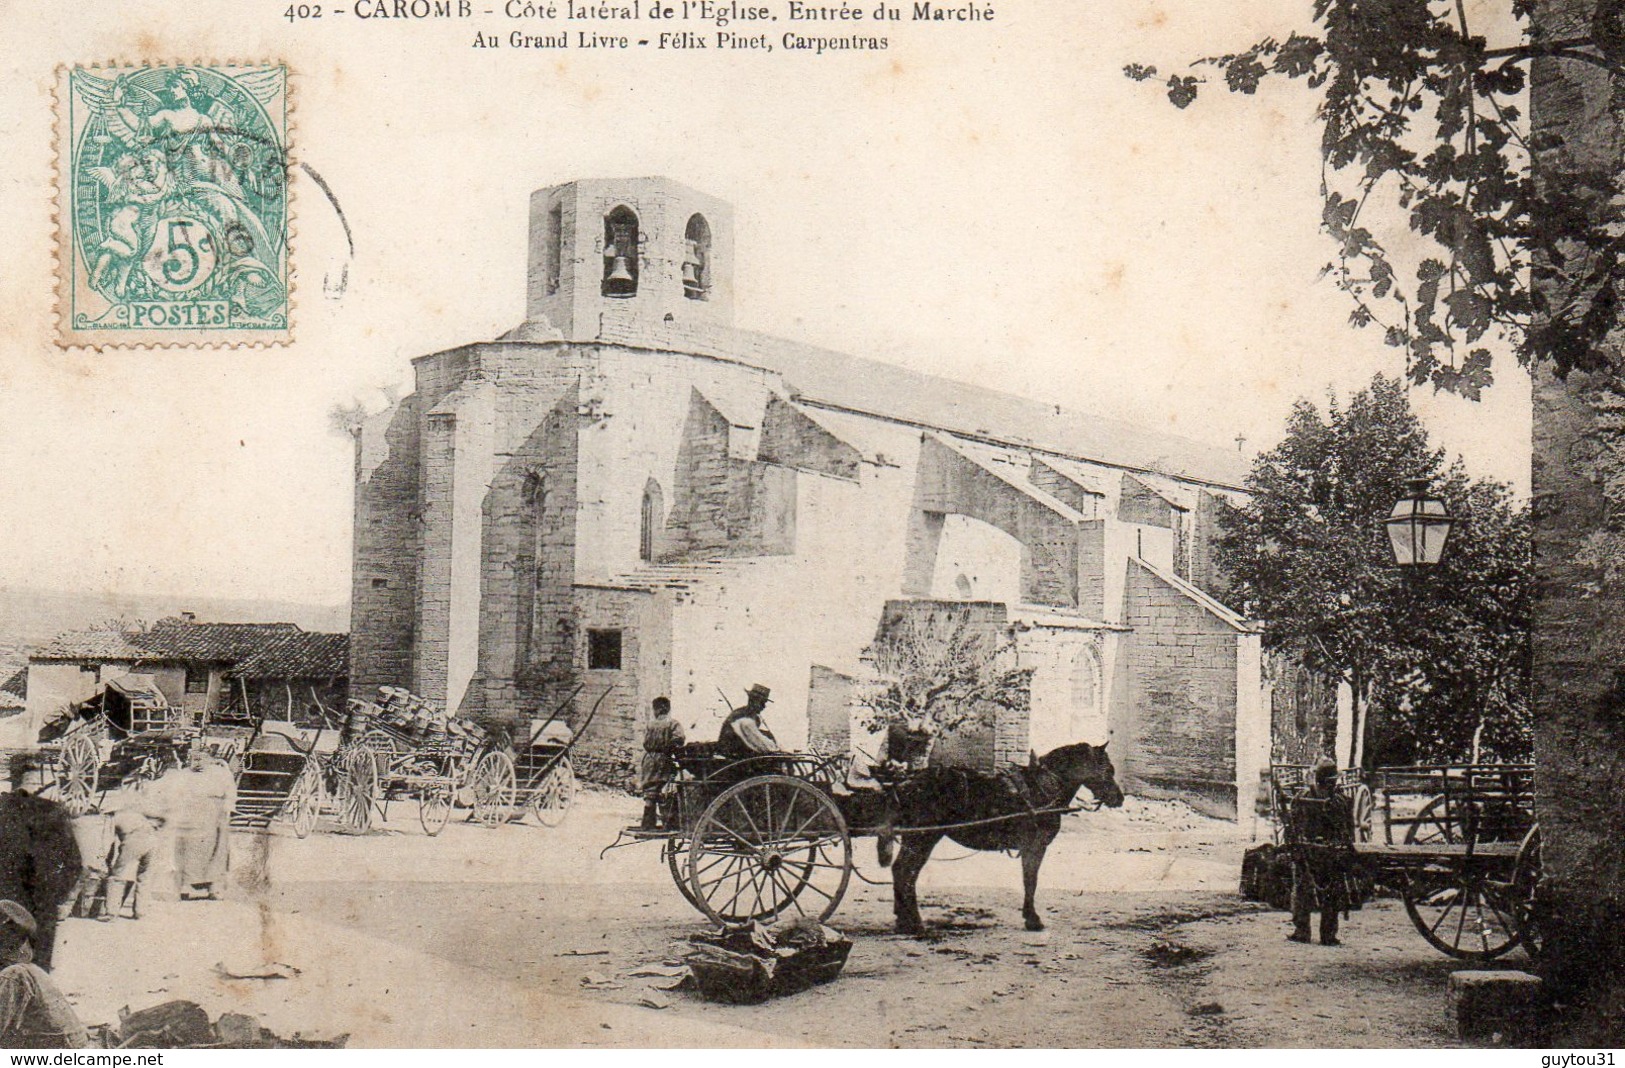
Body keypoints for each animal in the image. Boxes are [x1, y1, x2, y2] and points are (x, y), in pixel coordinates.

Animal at [877, 741, 1131, 936]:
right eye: (1108, 769)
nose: (1119, 798)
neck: (1043, 788)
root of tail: (907, 781)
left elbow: (1029, 881)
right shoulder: (1035, 846)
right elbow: (1031, 881)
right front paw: (1033, 919)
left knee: (902, 872)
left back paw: (903, 920)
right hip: (923, 838)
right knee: (905, 872)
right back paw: (914, 923)